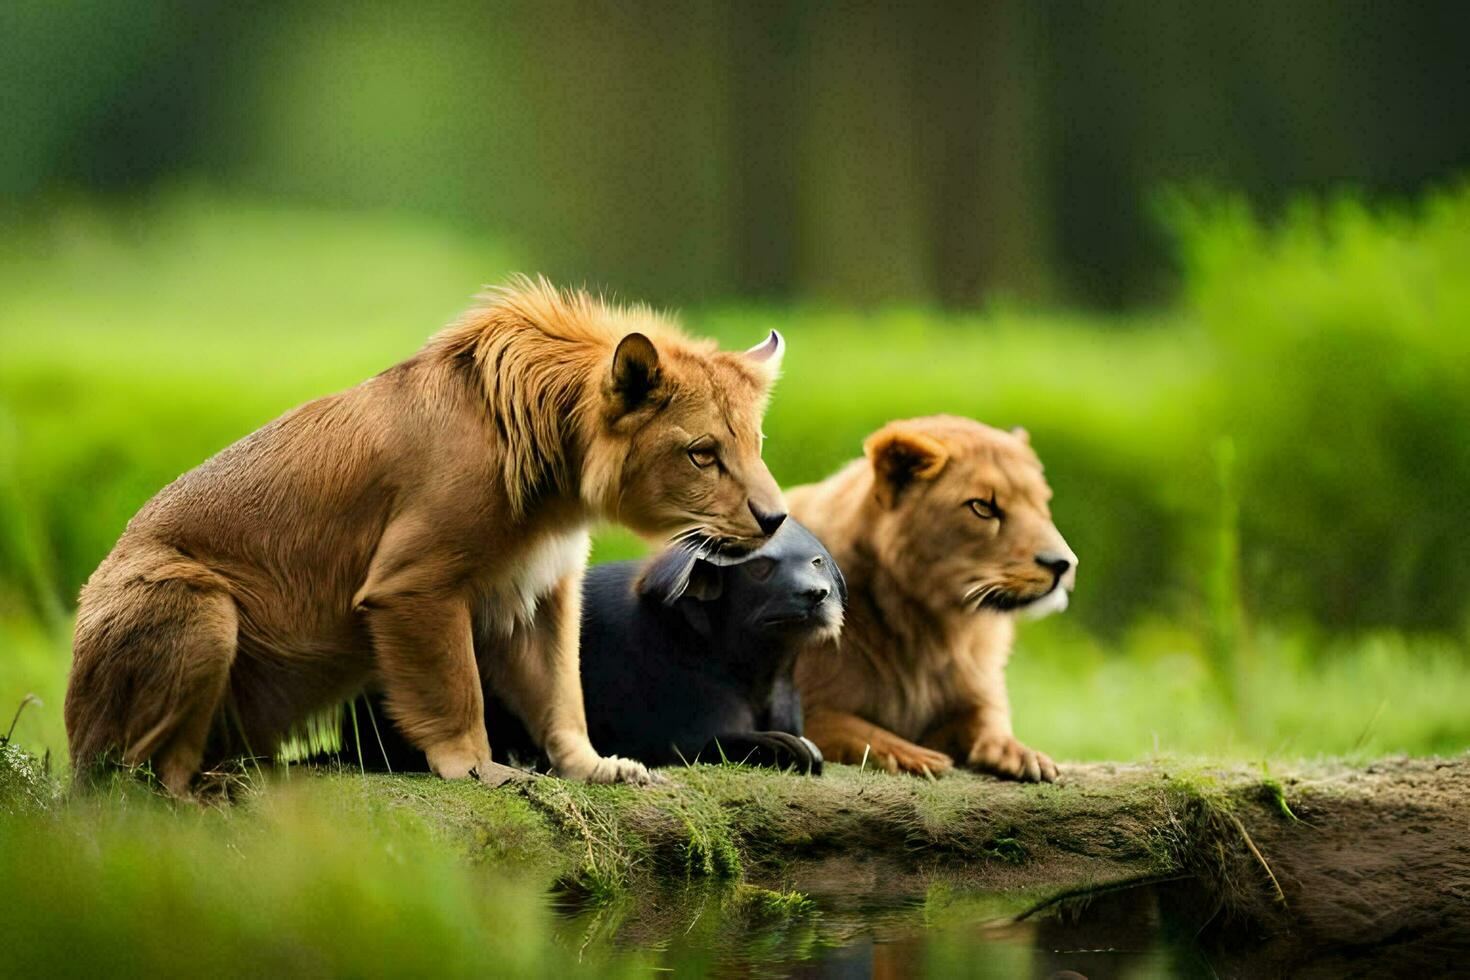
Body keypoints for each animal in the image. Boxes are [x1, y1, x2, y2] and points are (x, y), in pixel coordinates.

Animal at [330, 517, 840, 775]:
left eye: (816, 562)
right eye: (760, 568)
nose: (817, 594)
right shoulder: (678, 737)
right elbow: (744, 743)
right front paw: (792, 750)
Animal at [787, 414, 1076, 781]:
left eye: (1042, 503)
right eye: (982, 507)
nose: (1064, 564)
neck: (933, 629)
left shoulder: (974, 689)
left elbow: (988, 718)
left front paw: (1022, 754)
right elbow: (850, 727)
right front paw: (914, 756)